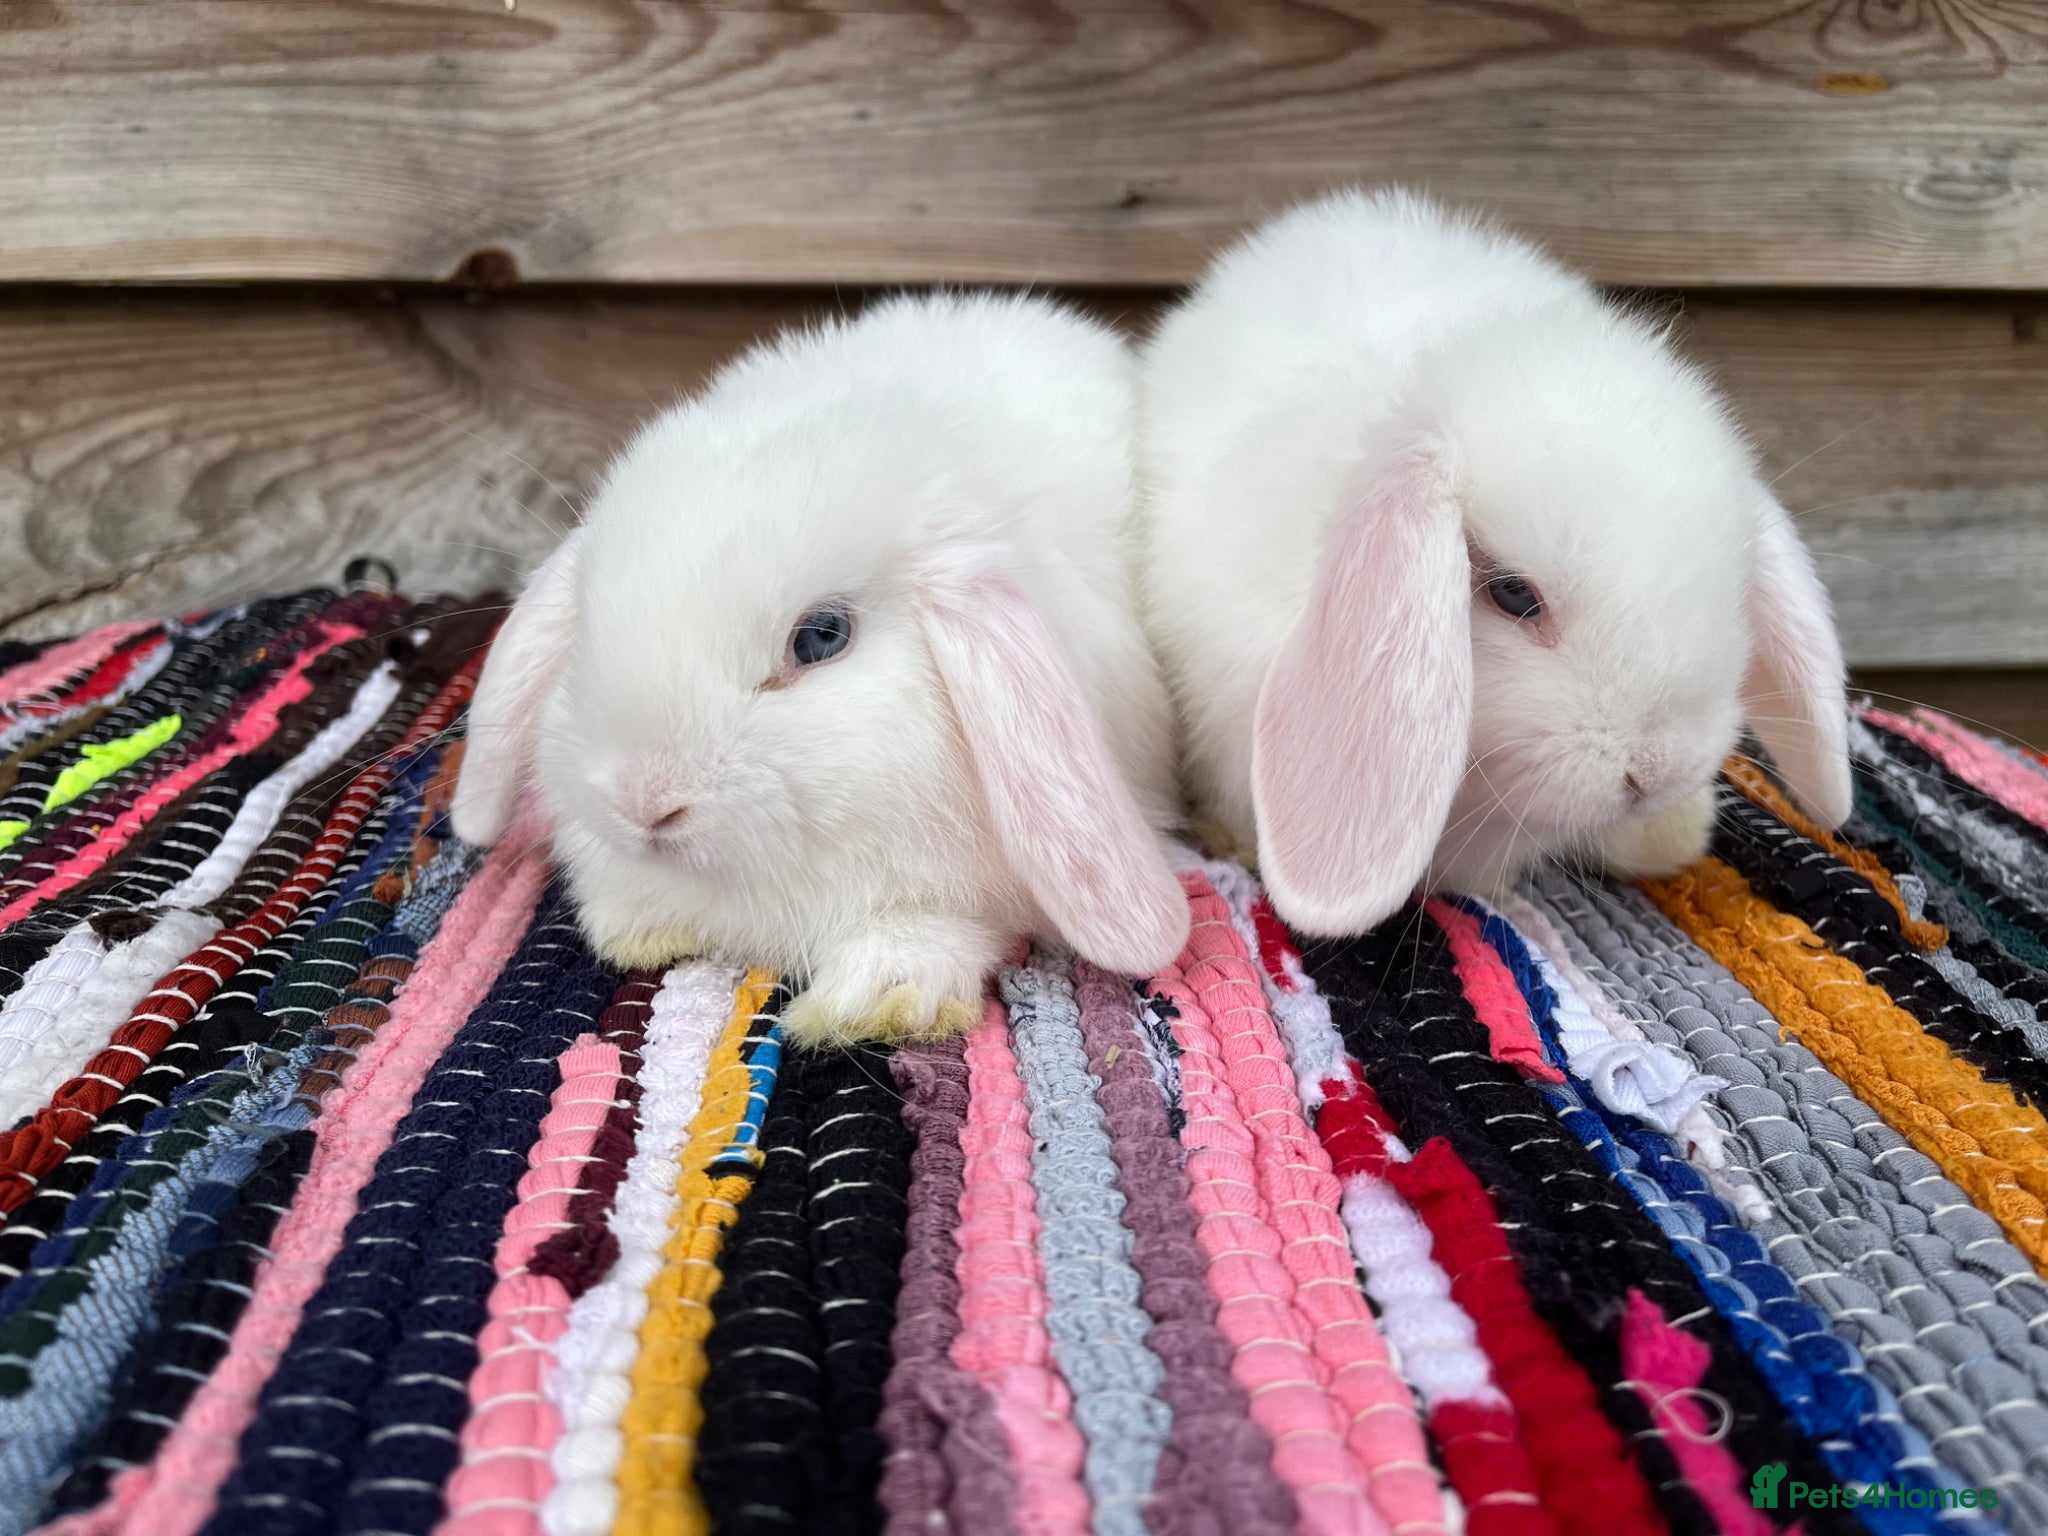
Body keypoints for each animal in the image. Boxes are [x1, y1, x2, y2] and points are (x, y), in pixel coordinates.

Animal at [451, 291, 1190, 1045]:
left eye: (821, 637)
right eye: (588, 615)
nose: (642, 803)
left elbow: (929, 929)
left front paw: (877, 1002)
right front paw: (644, 928)